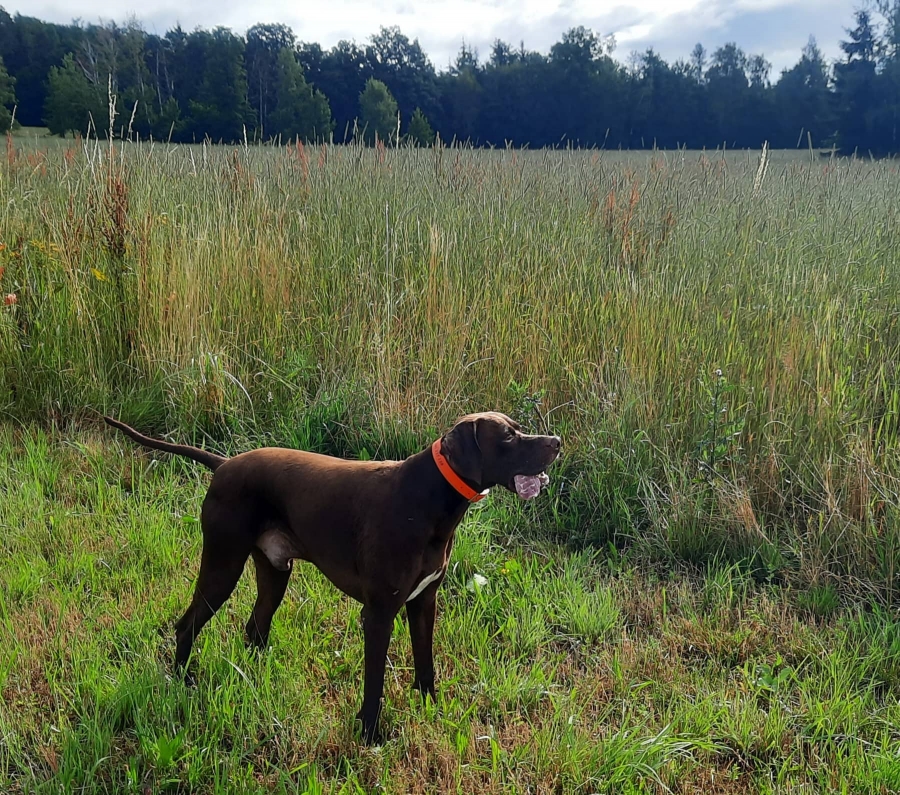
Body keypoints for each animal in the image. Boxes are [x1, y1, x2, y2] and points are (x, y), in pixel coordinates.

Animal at [104, 411, 561, 743]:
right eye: (508, 437)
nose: (556, 441)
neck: (428, 498)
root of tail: (225, 464)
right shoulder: (379, 614)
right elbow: (375, 683)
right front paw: (370, 735)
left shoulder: (423, 603)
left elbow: (426, 666)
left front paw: (432, 710)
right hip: (222, 566)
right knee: (187, 626)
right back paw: (183, 683)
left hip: (274, 573)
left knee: (254, 628)